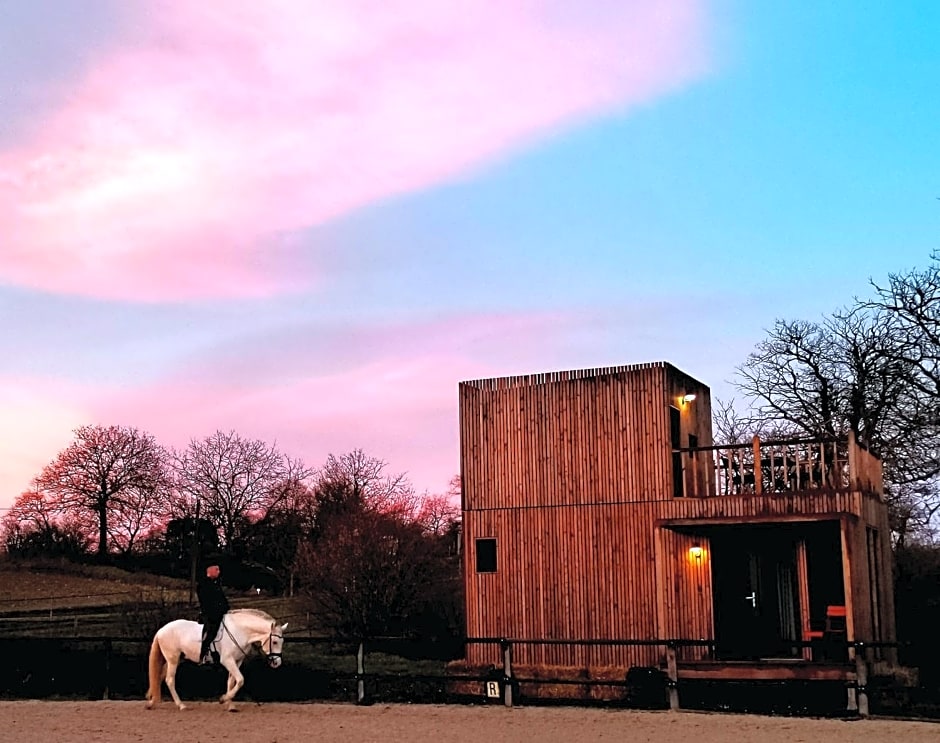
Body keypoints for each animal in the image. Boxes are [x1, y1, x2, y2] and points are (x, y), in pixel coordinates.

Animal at [144, 612, 286, 716]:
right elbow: (240, 680)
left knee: (159, 677)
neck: (239, 632)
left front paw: (230, 705)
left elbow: (231, 682)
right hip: (172, 659)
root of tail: (162, 630)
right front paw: (223, 699)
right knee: (169, 680)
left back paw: (152, 703)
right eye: (274, 642)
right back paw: (181, 705)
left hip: (175, 659)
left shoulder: (237, 661)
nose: (277, 662)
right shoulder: (227, 660)